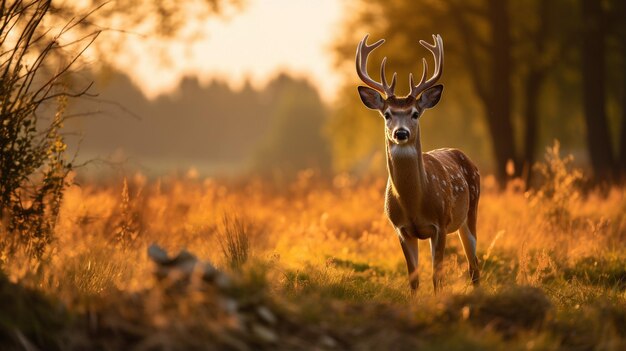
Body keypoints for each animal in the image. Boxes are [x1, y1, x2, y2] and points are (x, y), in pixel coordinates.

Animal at [354, 34, 480, 292]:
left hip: (471, 211)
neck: (414, 203)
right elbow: (414, 280)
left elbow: (437, 278)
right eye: (387, 114)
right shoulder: (401, 230)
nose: (401, 133)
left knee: (474, 266)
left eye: (414, 113)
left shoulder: (440, 224)